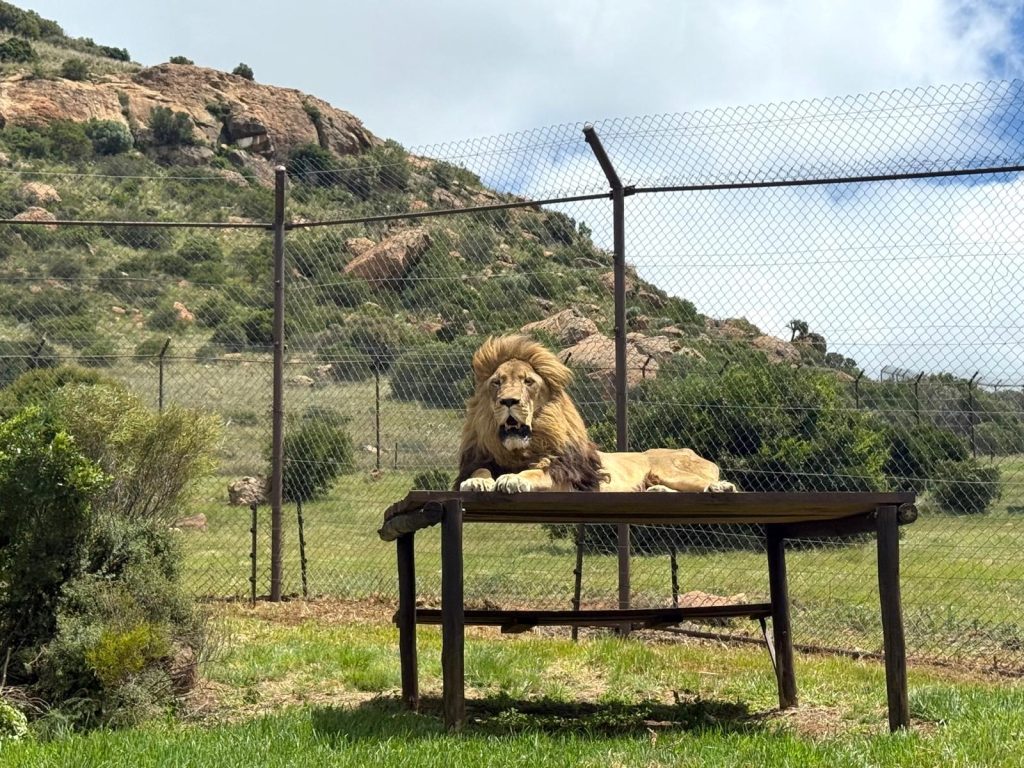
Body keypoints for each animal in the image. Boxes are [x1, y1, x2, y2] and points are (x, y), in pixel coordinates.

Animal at [455, 335, 736, 494]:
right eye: (497, 382)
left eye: (528, 382)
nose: (508, 401)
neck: (518, 451)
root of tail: (691, 452)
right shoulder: (481, 458)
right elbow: (479, 470)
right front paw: (477, 482)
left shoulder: (567, 474)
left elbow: (536, 473)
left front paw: (513, 479)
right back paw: (657, 491)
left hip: (670, 469)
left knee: (707, 484)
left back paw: (719, 486)